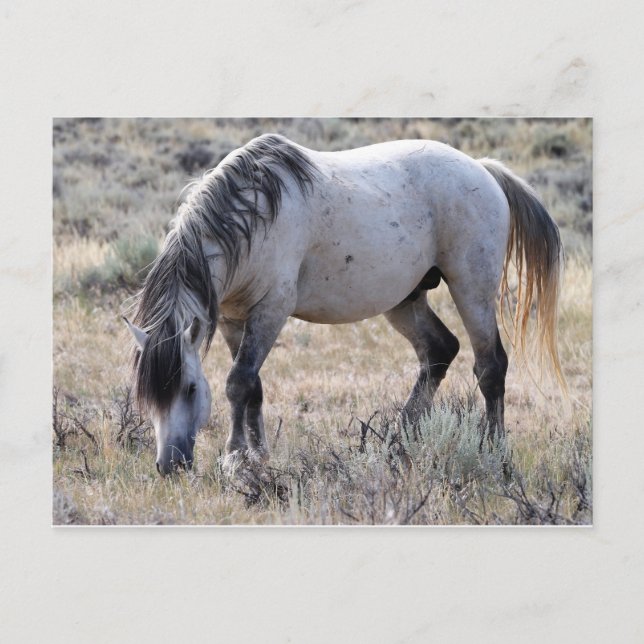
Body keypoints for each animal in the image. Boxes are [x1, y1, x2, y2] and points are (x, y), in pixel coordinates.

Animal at [123, 133, 563, 476]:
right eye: (148, 396)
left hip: (471, 288)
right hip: (405, 300)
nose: (169, 464)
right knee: (439, 350)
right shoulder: (235, 320)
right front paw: (259, 454)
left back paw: (495, 455)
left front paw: (234, 457)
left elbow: (237, 383)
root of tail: (482, 169)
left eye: (191, 387)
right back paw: (394, 443)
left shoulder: (271, 311)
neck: (253, 218)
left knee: (490, 367)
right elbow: (253, 387)